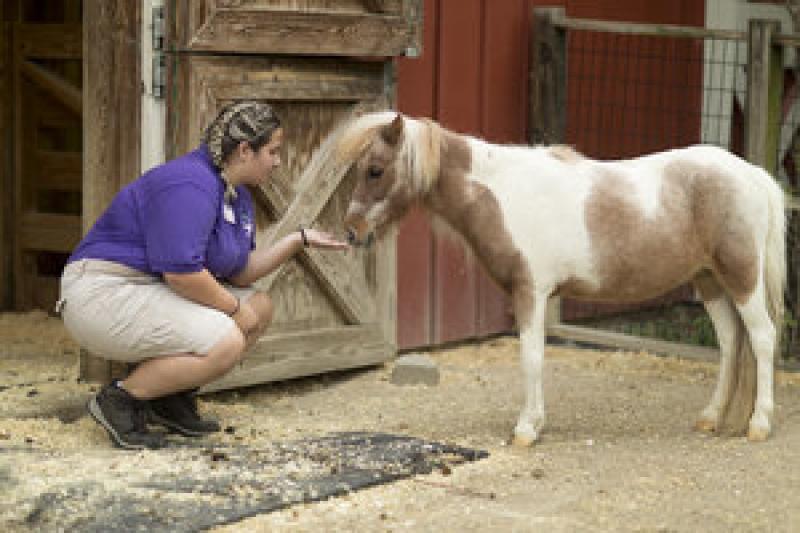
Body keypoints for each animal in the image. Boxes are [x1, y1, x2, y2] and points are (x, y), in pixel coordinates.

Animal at [332, 112, 788, 444]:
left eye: (375, 170)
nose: (352, 232)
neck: (504, 193)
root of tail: (752, 174)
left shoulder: (530, 292)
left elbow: (531, 358)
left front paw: (526, 429)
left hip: (741, 276)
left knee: (762, 337)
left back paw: (759, 424)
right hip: (709, 280)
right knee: (730, 342)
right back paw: (710, 417)